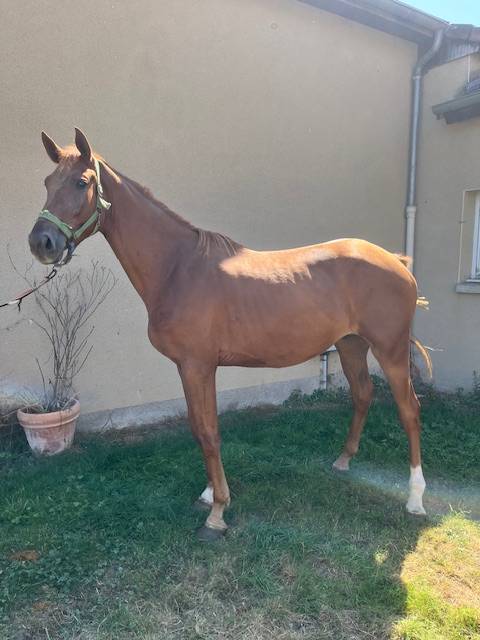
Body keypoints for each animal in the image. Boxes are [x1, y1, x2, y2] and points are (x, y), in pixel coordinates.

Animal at [28, 129, 431, 540]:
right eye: (46, 182)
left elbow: (208, 431)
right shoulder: (190, 368)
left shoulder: (198, 366)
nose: (41, 243)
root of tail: (396, 261)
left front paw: (217, 511)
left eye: (82, 182)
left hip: (390, 350)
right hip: (351, 345)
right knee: (363, 394)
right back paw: (343, 461)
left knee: (409, 410)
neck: (178, 267)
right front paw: (208, 494)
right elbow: (199, 427)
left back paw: (415, 498)